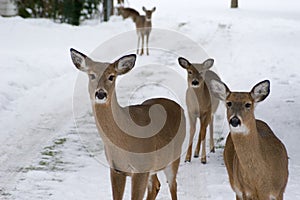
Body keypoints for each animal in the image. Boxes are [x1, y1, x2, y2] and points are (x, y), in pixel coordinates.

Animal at [70, 48, 186, 200]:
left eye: (111, 76)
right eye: (92, 75)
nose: (100, 94)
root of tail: (180, 107)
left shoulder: (141, 168)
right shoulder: (116, 169)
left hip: (173, 157)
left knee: (173, 185)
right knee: (156, 185)